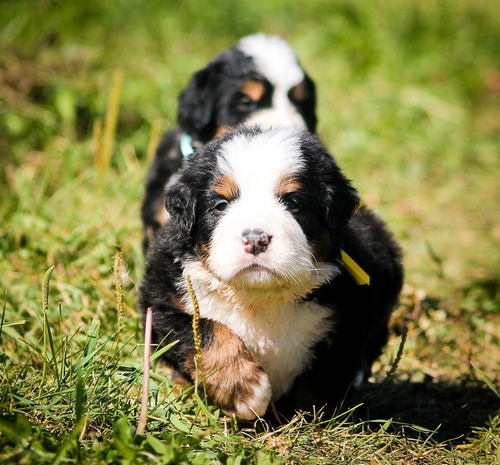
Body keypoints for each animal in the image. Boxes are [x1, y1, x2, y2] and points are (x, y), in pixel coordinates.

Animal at [139, 125, 404, 418]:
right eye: (221, 205)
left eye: (293, 202)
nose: (256, 239)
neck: (260, 297)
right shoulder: (163, 301)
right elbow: (204, 332)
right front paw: (242, 389)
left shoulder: (352, 319)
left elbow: (322, 380)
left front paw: (313, 419)